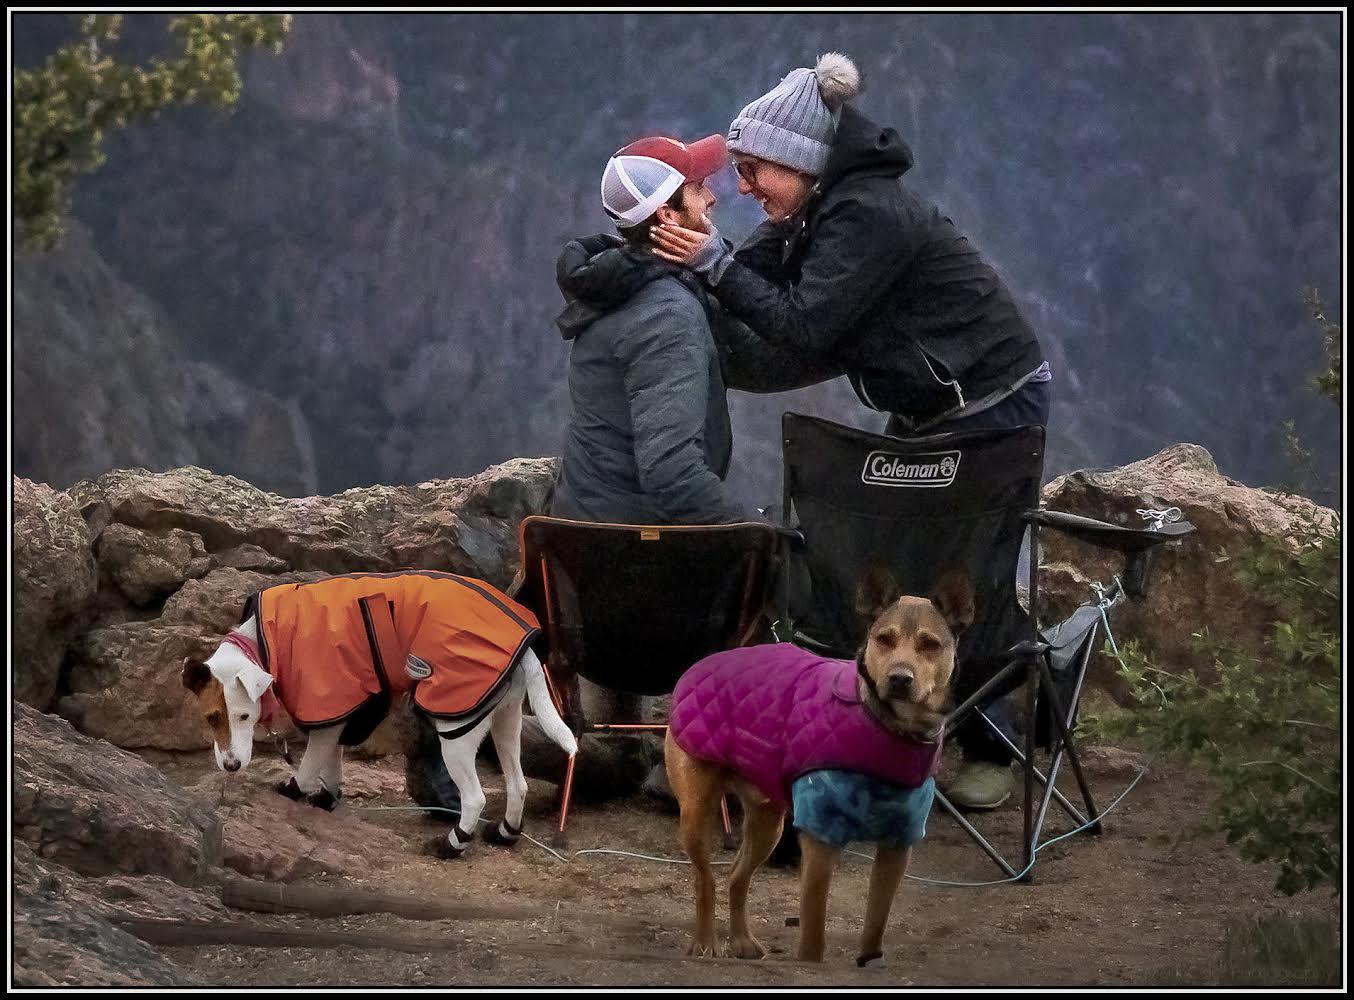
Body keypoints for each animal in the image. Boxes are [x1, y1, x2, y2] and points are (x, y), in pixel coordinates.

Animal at [666, 573, 974, 963]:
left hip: (768, 825)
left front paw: (868, 960)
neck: (888, 728)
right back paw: (705, 942)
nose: (899, 678)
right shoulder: (820, 838)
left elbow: (875, 924)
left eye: (930, 644)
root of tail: (707, 662)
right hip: (696, 810)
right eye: (883, 639)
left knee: (737, 877)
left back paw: (742, 941)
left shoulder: (897, 845)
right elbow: (813, 931)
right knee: (704, 877)